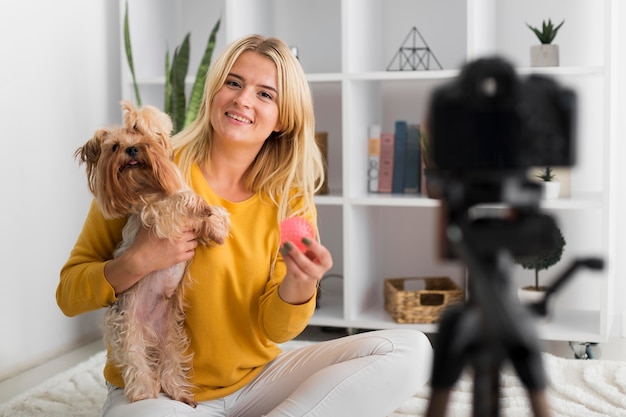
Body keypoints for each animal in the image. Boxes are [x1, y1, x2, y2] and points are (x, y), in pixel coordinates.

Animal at [73, 100, 229, 404]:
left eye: (144, 140)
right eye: (114, 147)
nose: (132, 150)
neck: (148, 187)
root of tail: (149, 329)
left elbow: (212, 215)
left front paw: (215, 225)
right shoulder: (156, 215)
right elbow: (179, 201)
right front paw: (196, 204)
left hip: (172, 334)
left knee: (170, 365)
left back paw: (180, 393)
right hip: (127, 329)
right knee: (137, 364)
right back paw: (145, 393)